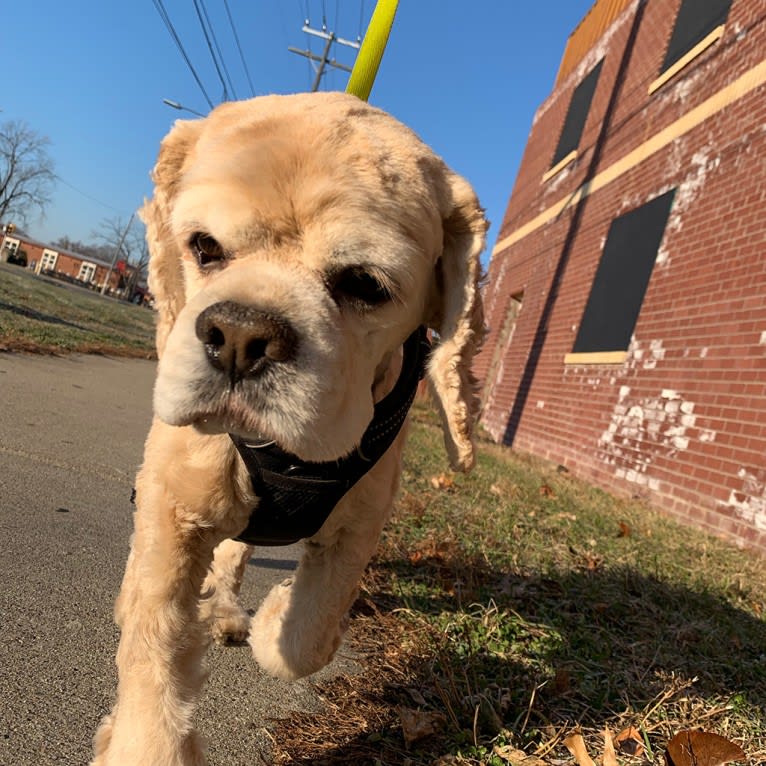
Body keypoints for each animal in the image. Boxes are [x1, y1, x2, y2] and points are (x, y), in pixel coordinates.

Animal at [90, 93, 486, 764]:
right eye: (203, 246)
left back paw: (228, 613)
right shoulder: (171, 510)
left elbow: (307, 638)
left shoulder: (358, 528)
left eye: (365, 284)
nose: (239, 336)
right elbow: (153, 643)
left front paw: (275, 618)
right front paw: (140, 737)